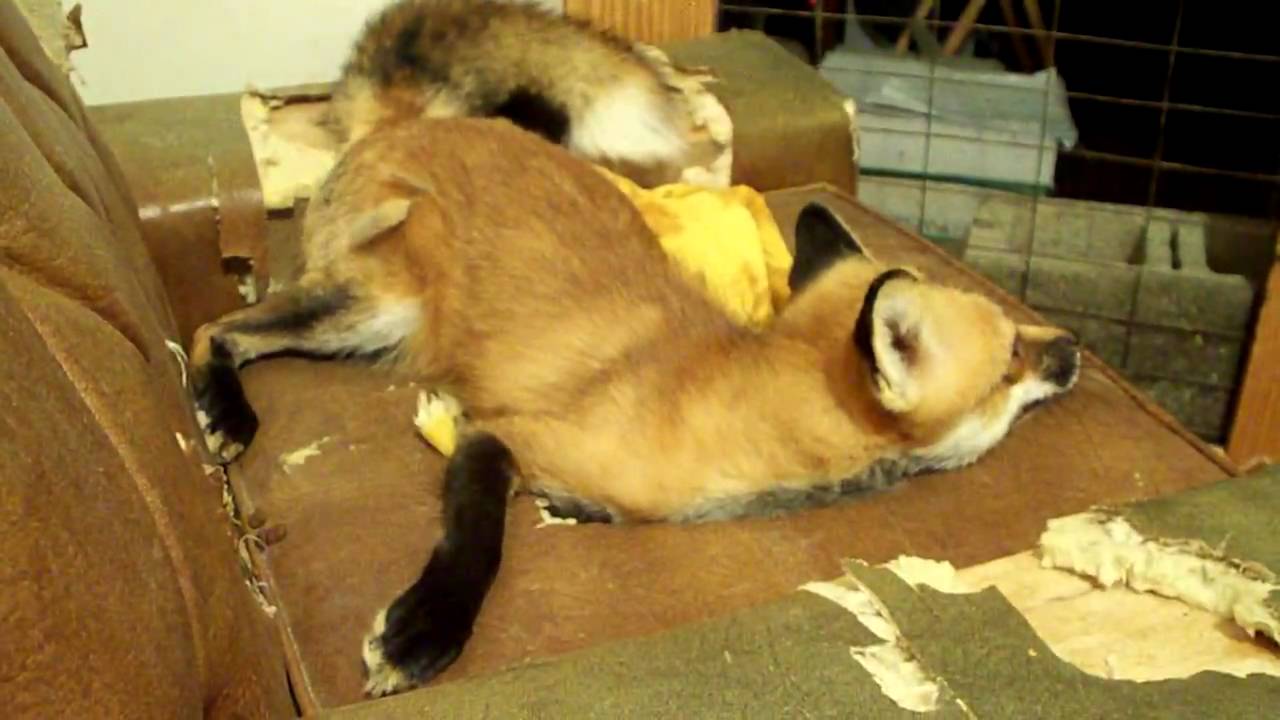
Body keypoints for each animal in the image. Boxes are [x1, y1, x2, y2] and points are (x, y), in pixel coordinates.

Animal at [188, 117, 1081, 697]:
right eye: (1011, 355)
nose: (1073, 345)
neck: (730, 404)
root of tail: (408, 128)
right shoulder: (505, 436)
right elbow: (479, 537)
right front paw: (426, 630)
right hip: (370, 314)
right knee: (211, 328)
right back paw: (221, 412)